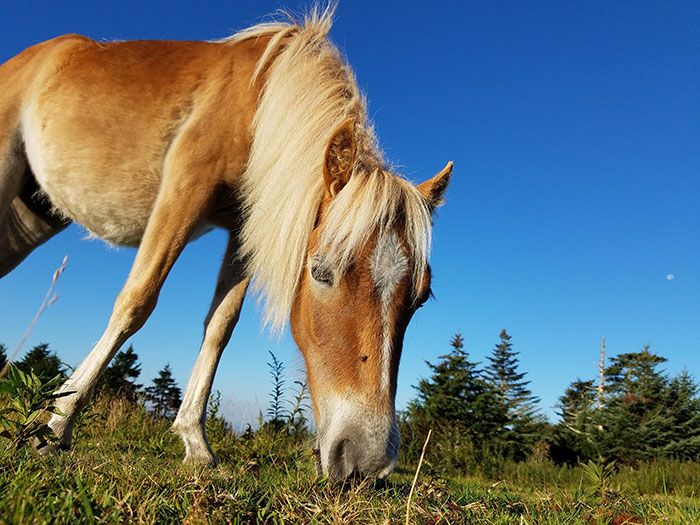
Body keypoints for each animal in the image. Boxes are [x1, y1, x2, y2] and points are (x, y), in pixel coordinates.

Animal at [0, 7, 452, 479]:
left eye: (420, 297)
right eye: (321, 273)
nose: (367, 462)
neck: (258, 103)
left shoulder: (243, 228)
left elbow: (220, 326)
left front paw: (195, 442)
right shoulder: (184, 192)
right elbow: (137, 302)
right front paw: (57, 425)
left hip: (34, 214)